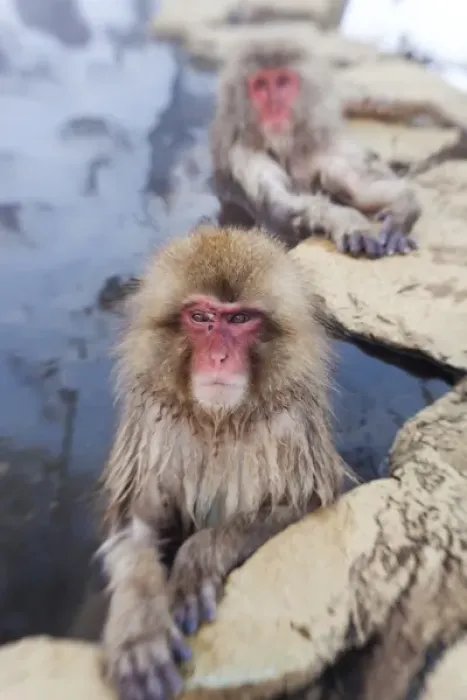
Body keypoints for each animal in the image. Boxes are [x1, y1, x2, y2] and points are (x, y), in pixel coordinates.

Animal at [98, 223, 351, 700]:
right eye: (201, 317)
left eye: (239, 319)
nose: (218, 357)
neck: (217, 420)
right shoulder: (151, 418)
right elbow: (139, 518)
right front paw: (140, 627)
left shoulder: (292, 424)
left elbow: (302, 504)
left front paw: (197, 559)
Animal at [210, 40, 421, 258]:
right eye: (260, 85)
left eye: (282, 82)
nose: (273, 105)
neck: (287, 146)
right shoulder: (244, 155)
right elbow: (280, 208)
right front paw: (348, 221)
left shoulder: (321, 142)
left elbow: (357, 189)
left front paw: (402, 210)